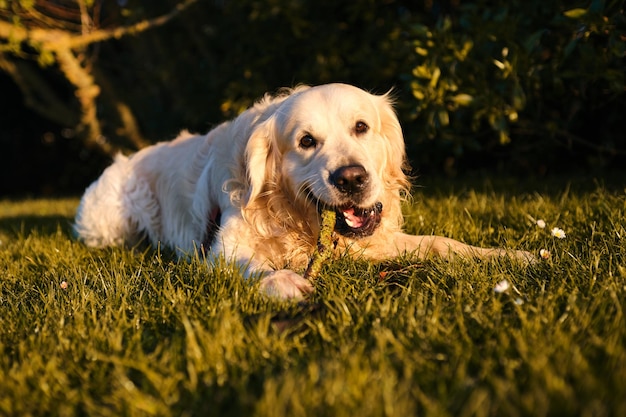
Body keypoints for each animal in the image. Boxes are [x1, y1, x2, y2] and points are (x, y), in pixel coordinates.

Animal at [74, 84, 532, 298]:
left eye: (361, 127)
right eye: (307, 141)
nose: (351, 179)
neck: (296, 219)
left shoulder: (375, 240)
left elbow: (443, 243)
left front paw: (513, 255)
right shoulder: (223, 250)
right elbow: (250, 265)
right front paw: (283, 282)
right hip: (108, 221)